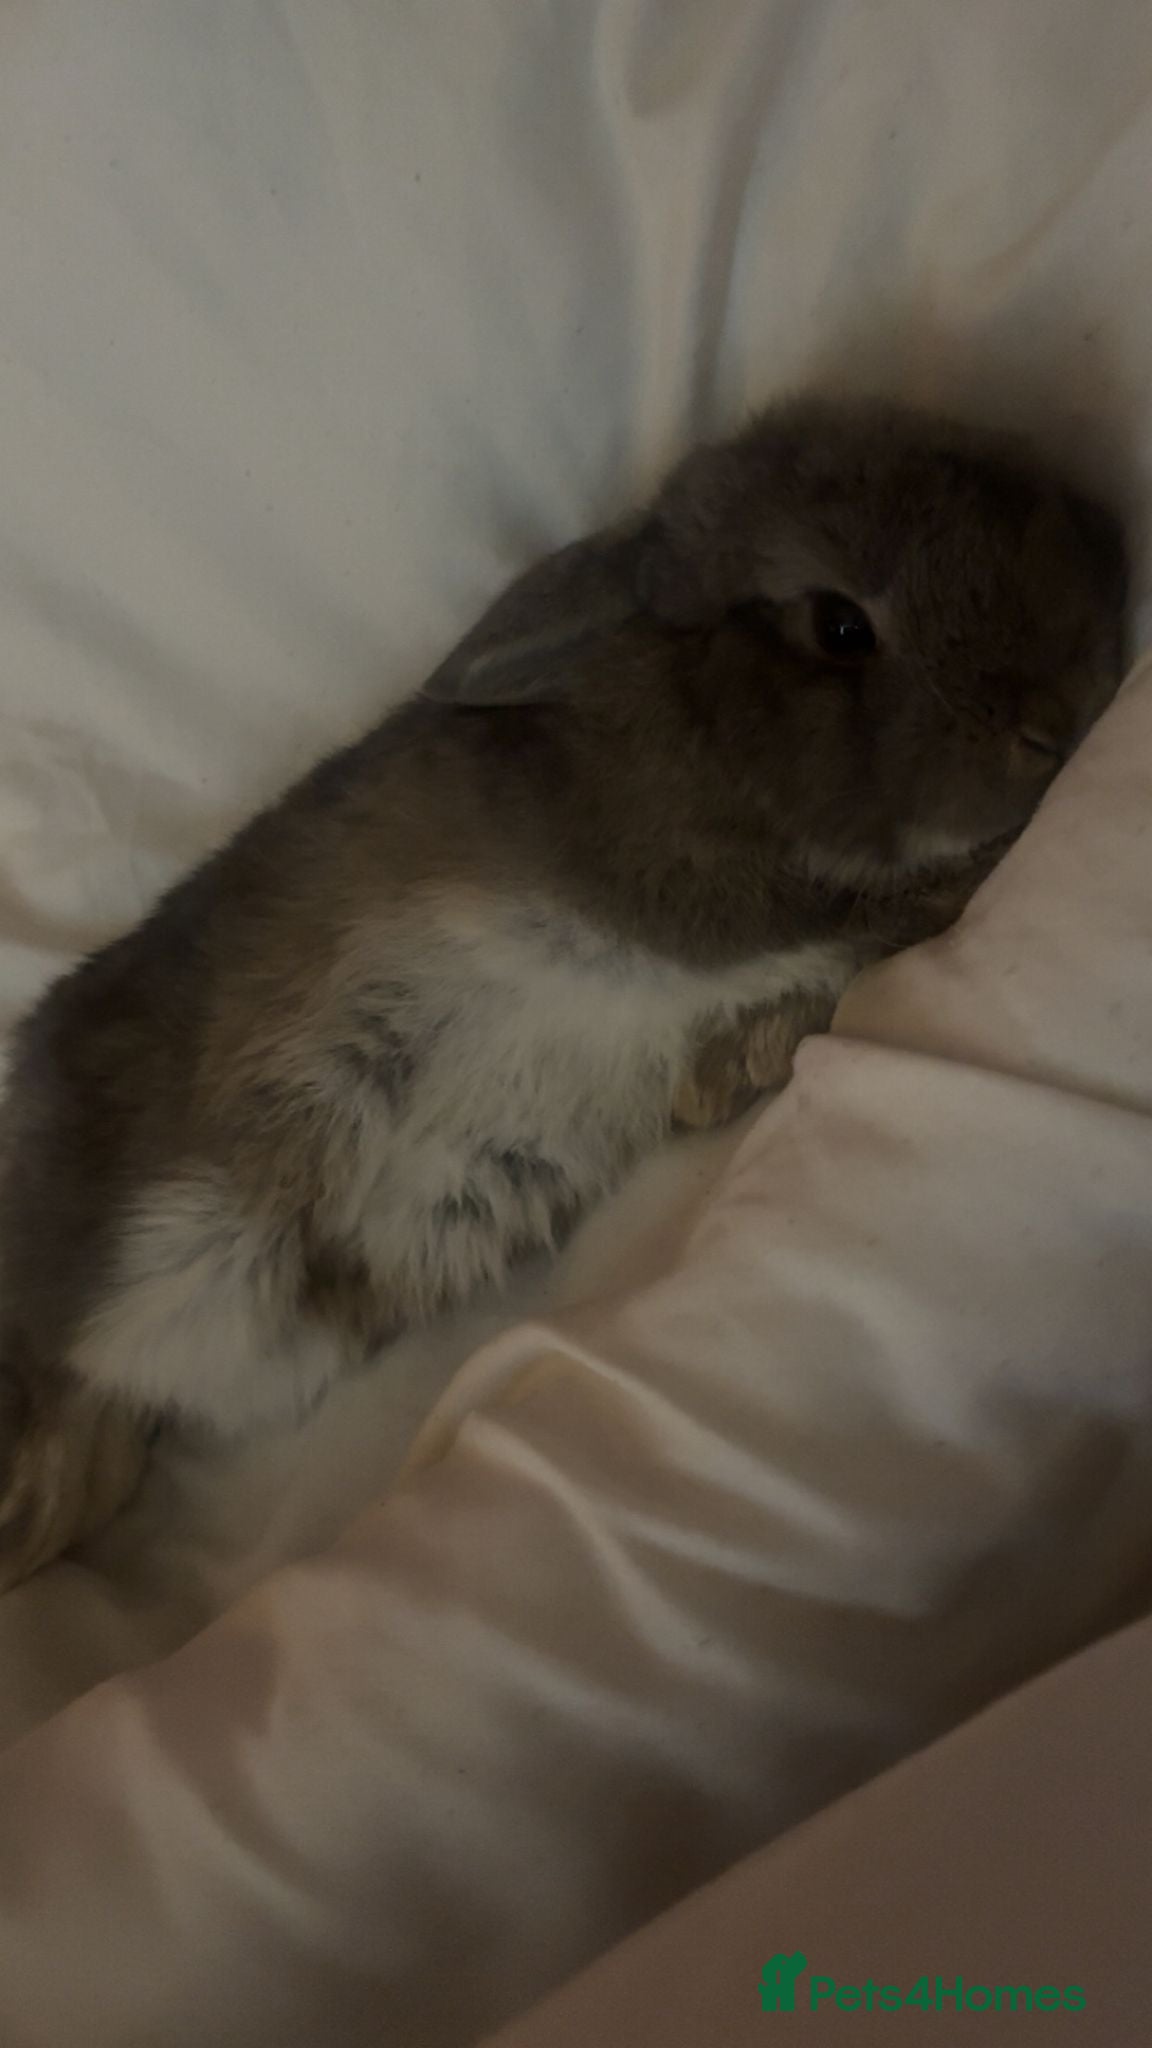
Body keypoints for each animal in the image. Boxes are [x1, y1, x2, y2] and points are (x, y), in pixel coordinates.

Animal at [0, 396, 1128, 1589]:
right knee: (63, 1369)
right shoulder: (702, 899)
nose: (1058, 719)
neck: (676, 707)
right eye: (839, 627)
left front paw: (729, 1071)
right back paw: (29, 1511)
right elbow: (877, 907)